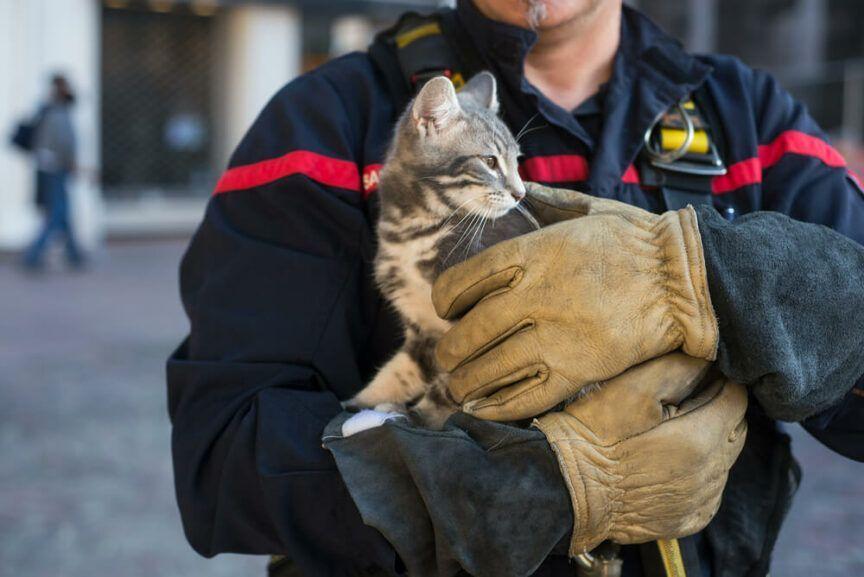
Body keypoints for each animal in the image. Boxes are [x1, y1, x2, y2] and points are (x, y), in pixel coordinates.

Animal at [346, 72, 536, 426]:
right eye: (490, 161)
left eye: (517, 162)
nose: (520, 193)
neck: (415, 230)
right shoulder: (422, 328)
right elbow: (402, 370)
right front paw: (363, 400)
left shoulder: (479, 328)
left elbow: (455, 386)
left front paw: (421, 418)